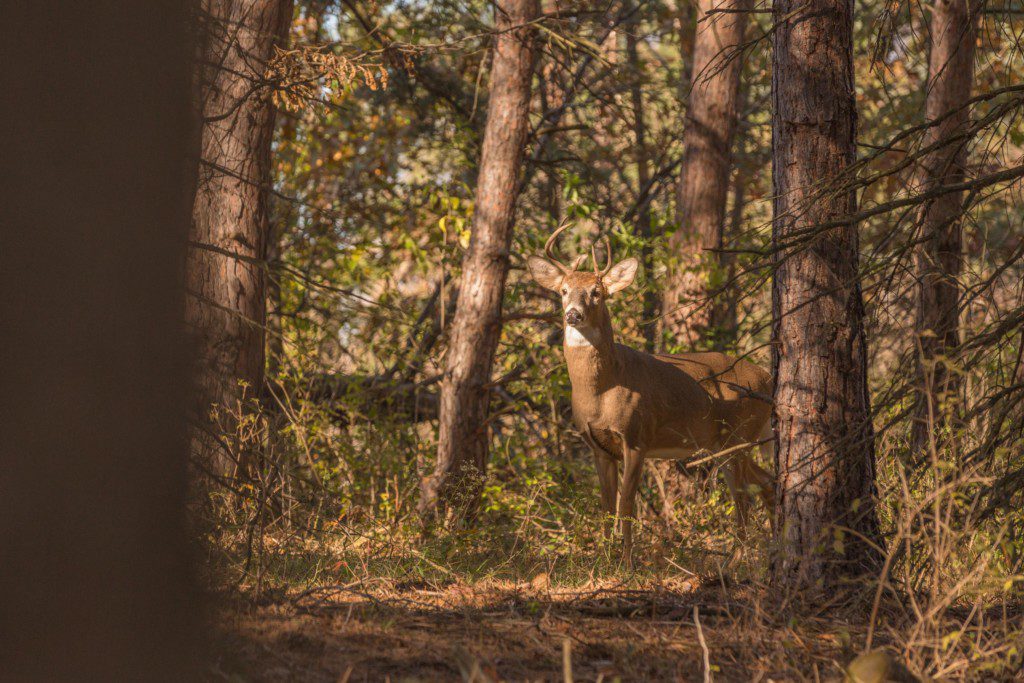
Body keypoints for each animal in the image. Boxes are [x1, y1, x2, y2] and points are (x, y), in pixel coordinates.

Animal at [527, 223, 775, 566]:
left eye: (597, 292)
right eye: (563, 290)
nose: (573, 315)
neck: (601, 391)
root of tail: (766, 378)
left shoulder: (637, 437)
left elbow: (627, 506)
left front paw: (627, 564)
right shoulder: (598, 446)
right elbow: (606, 507)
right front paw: (604, 560)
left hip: (738, 436)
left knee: (744, 498)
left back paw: (735, 562)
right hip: (727, 443)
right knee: (765, 483)